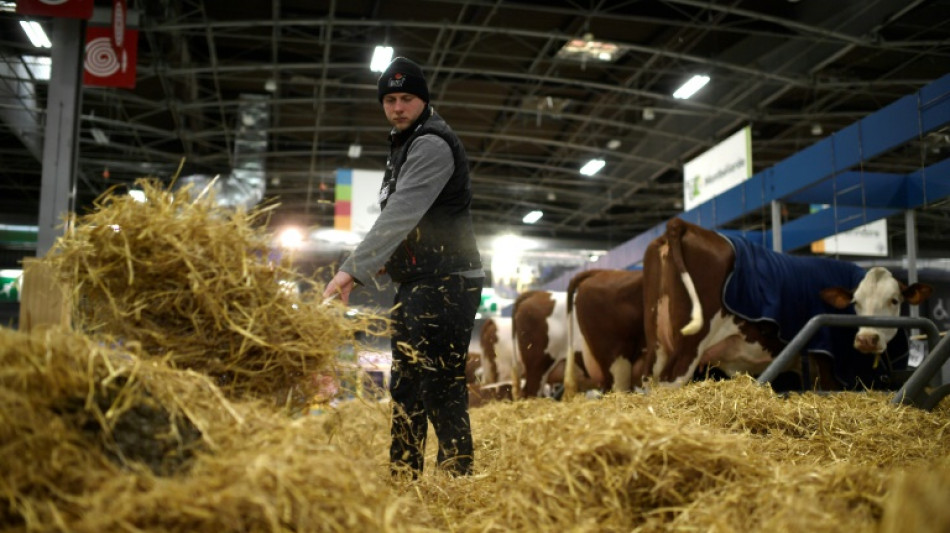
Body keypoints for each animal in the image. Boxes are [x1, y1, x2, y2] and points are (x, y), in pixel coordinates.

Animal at [644, 217, 932, 390]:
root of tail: (683, 224)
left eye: (893, 300)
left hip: (657, 346)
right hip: (687, 350)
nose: (867, 339)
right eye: (856, 302)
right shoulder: (828, 365)